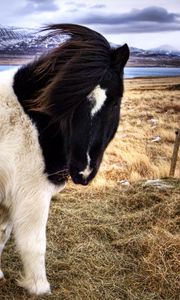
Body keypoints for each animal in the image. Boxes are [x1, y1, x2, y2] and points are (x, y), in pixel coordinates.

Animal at [0, 24, 129, 296]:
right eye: (72, 102)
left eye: (114, 103)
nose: (84, 170)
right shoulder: (32, 195)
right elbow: (34, 243)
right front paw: (39, 288)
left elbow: (2, 234)